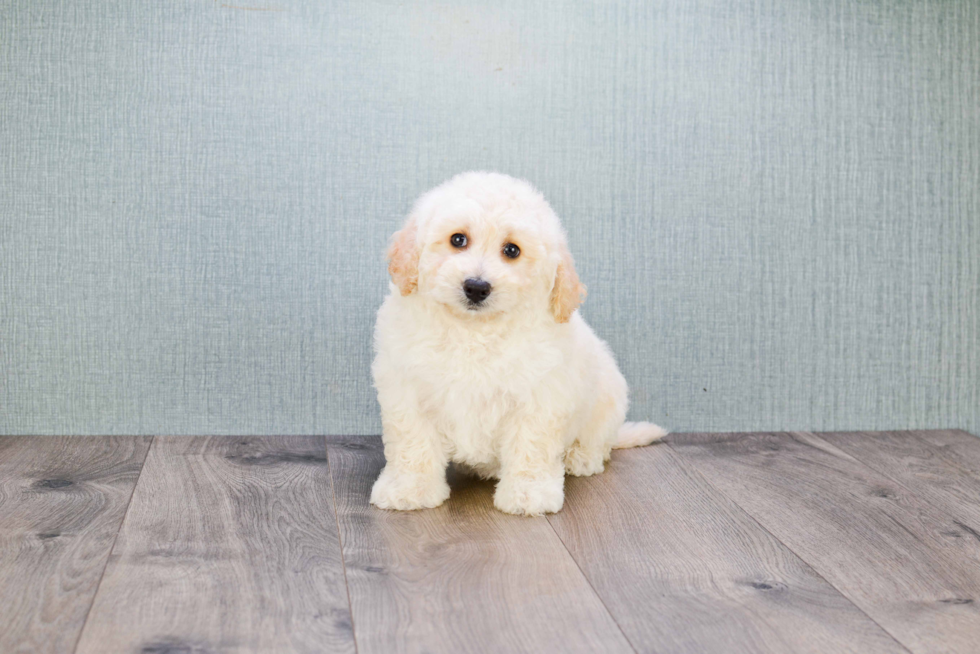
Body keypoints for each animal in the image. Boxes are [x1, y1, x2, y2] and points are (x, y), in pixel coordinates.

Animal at [372, 170, 668, 516]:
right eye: (457, 239)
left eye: (512, 250)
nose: (476, 287)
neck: (473, 330)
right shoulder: (407, 390)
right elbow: (412, 442)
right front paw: (408, 488)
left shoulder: (539, 397)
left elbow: (531, 445)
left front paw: (528, 493)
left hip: (607, 397)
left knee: (597, 441)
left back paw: (580, 458)